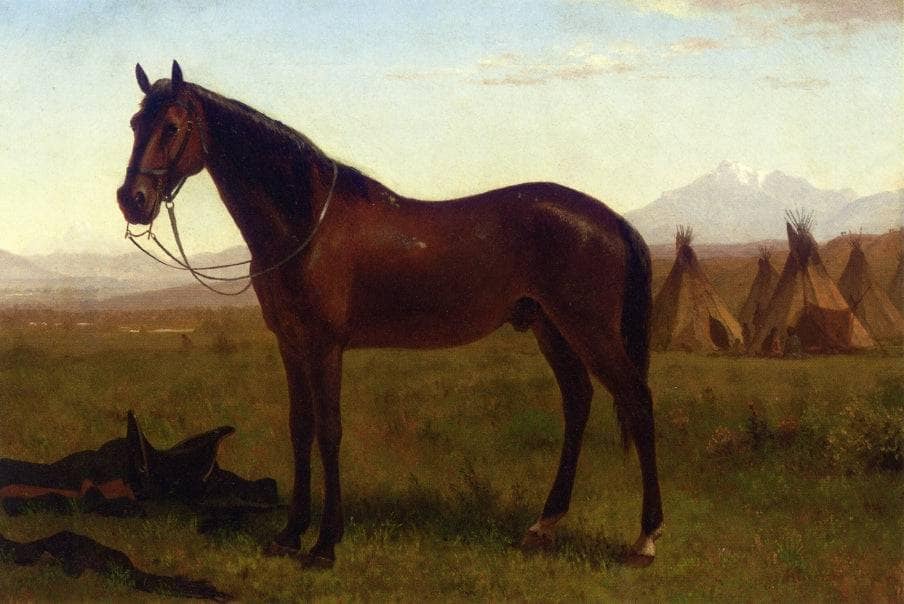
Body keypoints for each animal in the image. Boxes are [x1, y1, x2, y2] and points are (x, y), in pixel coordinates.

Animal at [116, 61, 662, 568]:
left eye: (171, 126)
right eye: (135, 123)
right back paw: (543, 526)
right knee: (578, 400)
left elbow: (329, 431)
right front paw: (289, 535)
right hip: (551, 327)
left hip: (588, 328)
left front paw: (325, 546)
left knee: (636, 400)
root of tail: (611, 220)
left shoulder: (326, 345)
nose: (132, 201)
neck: (306, 225)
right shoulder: (290, 343)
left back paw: (645, 540)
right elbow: (300, 426)